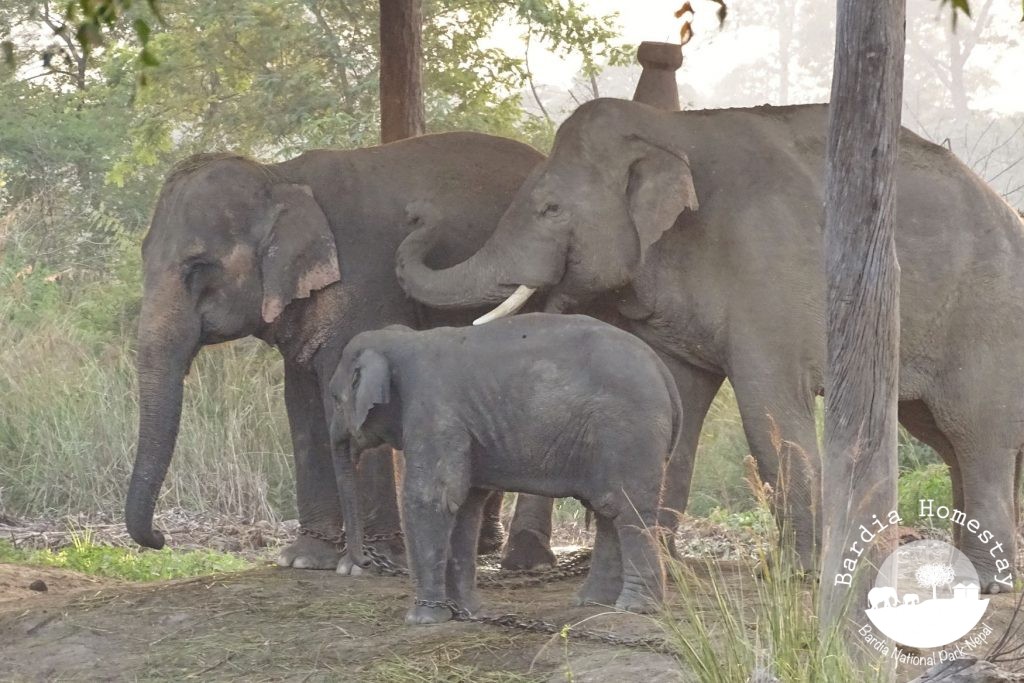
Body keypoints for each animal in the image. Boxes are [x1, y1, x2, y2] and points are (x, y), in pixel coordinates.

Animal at [126, 132, 562, 570]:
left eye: (197, 267)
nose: (160, 537)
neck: (279, 176)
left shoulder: (366, 283)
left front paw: (371, 562)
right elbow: (301, 405)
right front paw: (305, 559)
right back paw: (483, 546)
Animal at [326, 314, 682, 623]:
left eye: (335, 399)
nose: (361, 562)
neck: (404, 340)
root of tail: (662, 370)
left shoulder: (434, 413)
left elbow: (431, 499)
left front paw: (422, 619)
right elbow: (466, 506)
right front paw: (467, 613)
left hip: (627, 430)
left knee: (629, 510)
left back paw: (635, 608)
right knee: (608, 507)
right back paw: (593, 603)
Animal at [395, 97, 1024, 591]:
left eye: (550, 209)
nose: (418, 215)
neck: (669, 130)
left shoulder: (767, 274)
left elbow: (769, 414)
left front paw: (791, 574)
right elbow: (676, 397)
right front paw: (663, 562)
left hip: (985, 315)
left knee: (973, 431)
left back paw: (986, 580)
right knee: (942, 433)